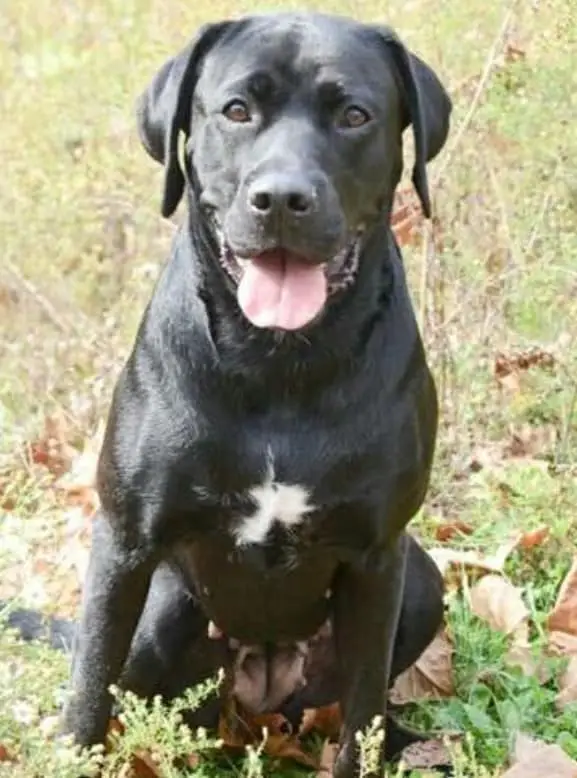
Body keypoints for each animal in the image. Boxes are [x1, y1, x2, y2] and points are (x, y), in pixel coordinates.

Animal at [58, 13, 450, 776]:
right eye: (236, 110)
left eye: (354, 115)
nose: (281, 199)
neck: (279, 365)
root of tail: (264, 701)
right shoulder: (124, 543)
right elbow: (89, 688)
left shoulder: (377, 557)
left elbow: (362, 714)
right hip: (160, 610)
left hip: (421, 579)